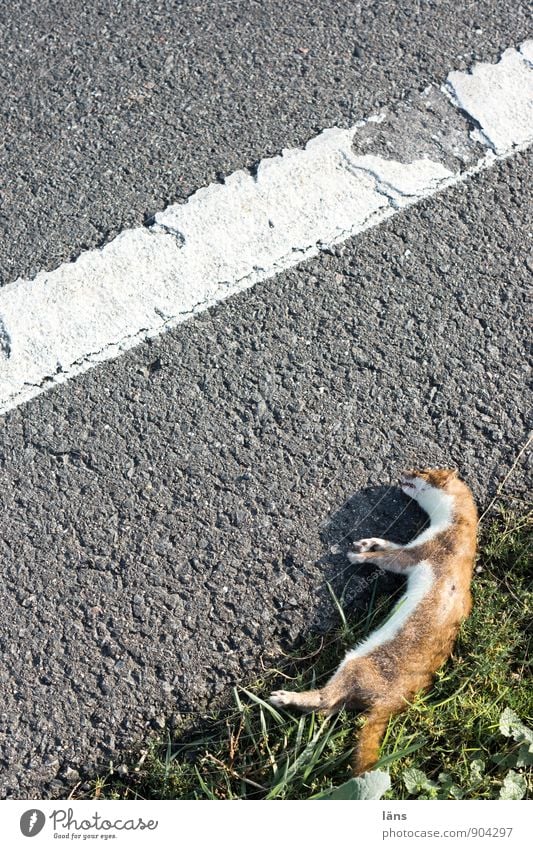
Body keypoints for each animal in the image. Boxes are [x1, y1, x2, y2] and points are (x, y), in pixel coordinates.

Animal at [270, 470, 478, 776]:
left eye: (421, 471)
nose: (405, 471)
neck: (458, 530)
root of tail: (396, 700)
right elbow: (391, 545)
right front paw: (368, 542)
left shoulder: (431, 550)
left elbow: (393, 558)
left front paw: (358, 555)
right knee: (330, 707)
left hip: (359, 663)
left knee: (327, 699)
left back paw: (283, 696)